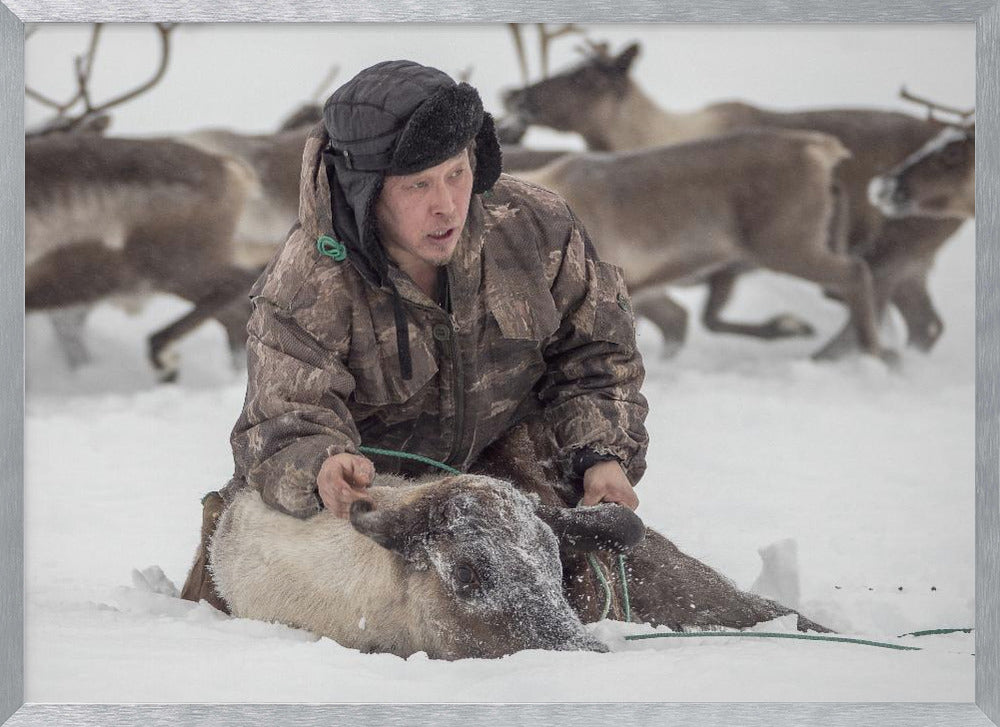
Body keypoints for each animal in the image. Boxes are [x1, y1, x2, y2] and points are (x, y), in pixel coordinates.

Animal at [502, 39, 975, 356]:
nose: (515, 96)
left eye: (583, 76)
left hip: (794, 243)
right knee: (918, 319)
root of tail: (824, 152)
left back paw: (859, 357)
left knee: (862, 279)